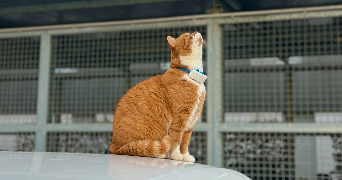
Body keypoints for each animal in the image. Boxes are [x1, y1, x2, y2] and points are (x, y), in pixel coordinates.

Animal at [110, 31, 206, 162]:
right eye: (188, 35)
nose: (196, 32)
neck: (191, 75)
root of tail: (113, 146)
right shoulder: (180, 118)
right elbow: (176, 139)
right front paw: (176, 155)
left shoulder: (190, 123)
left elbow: (185, 142)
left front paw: (186, 156)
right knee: (139, 148)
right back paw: (160, 154)